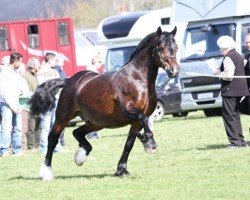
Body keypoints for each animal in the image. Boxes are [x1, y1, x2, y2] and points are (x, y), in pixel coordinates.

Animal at [29, 25, 179, 180]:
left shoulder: (135, 122)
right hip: (63, 116)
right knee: (53, 138)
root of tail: (69, 80)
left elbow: (129, 144)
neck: (137, 80)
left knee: (77, 132)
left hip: (97, 122)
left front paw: (121, 170)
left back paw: (81, 155)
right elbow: (142, 119)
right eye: (161, 47)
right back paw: (47, 172)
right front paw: (150, 143)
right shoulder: (130, 111)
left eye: (176, 48)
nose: (174, 71)